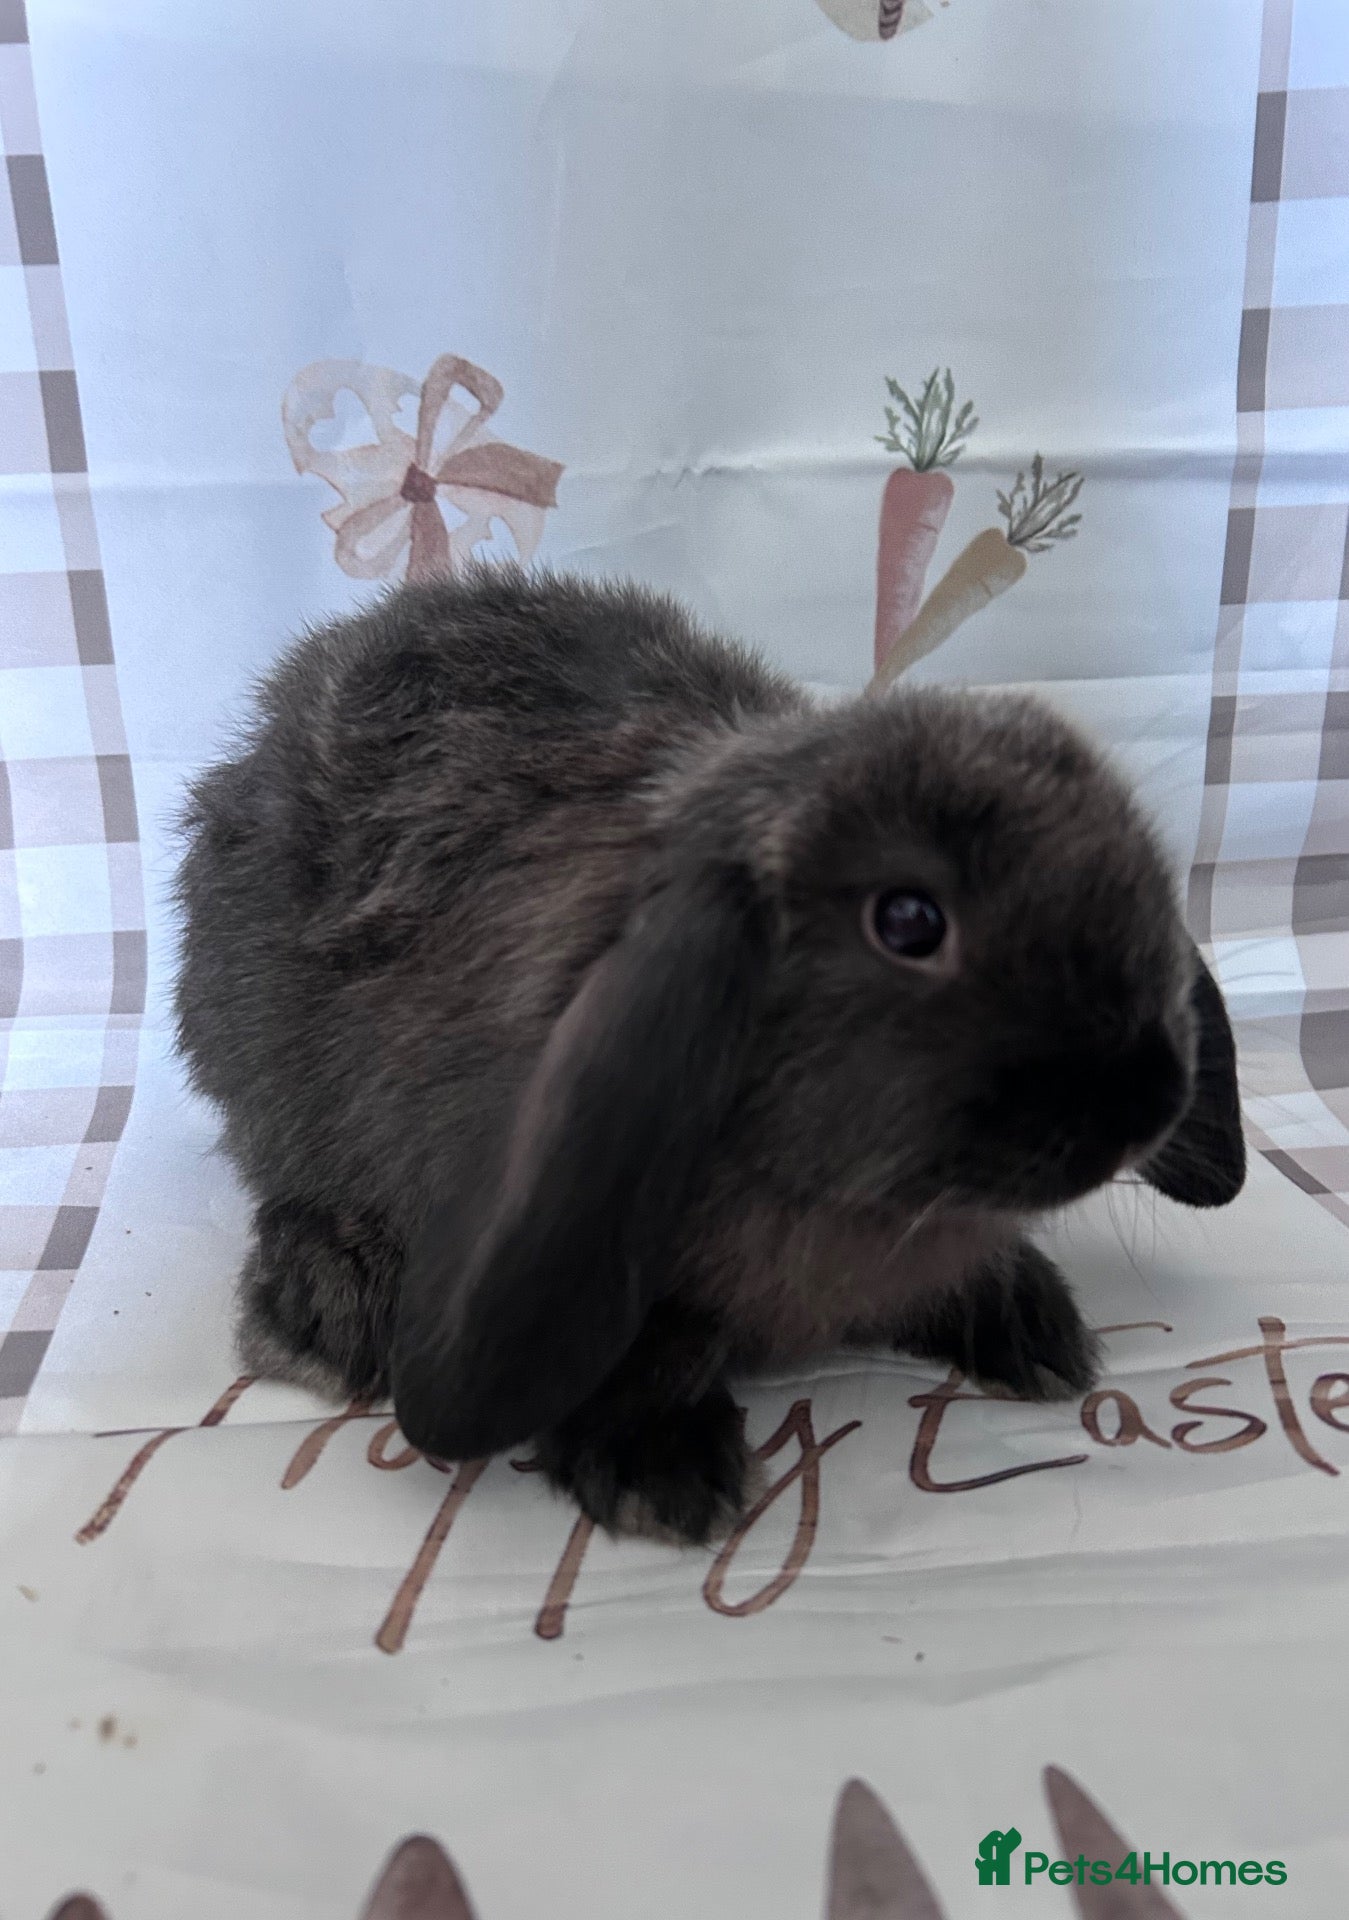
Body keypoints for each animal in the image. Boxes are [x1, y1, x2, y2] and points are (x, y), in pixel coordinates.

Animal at [173, 564, 1244, 1546]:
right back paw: (329, 1310)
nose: (1147, 1099)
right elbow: (657, 1344)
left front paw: (1032, 1326)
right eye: (908, 921)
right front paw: (661, 1474)